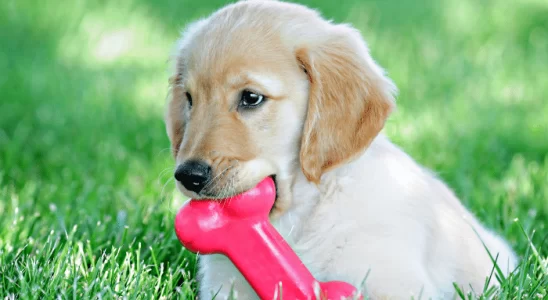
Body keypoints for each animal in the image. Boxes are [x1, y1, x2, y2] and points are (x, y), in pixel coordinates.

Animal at [164, 1, 520, 298]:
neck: (299, 217)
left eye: (251, 98)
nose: (188, 176)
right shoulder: (225, 285)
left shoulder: (394, 281)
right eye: (190, 99)